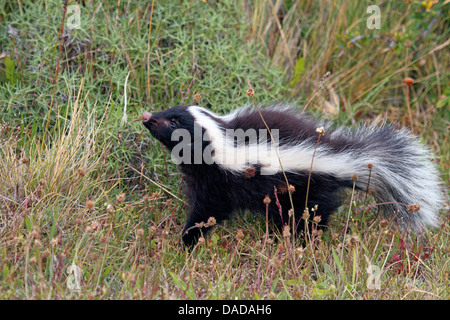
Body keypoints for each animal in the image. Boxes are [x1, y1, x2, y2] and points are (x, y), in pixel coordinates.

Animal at [142, 104, 442, 246]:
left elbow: (206, 212)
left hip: (307, 191)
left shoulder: (219, 182)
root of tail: (343, 156)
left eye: (173, 123)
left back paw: (303, 242)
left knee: (312, 216)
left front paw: (186, 240)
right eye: (168, 112)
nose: (146, 116)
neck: (220, 142)